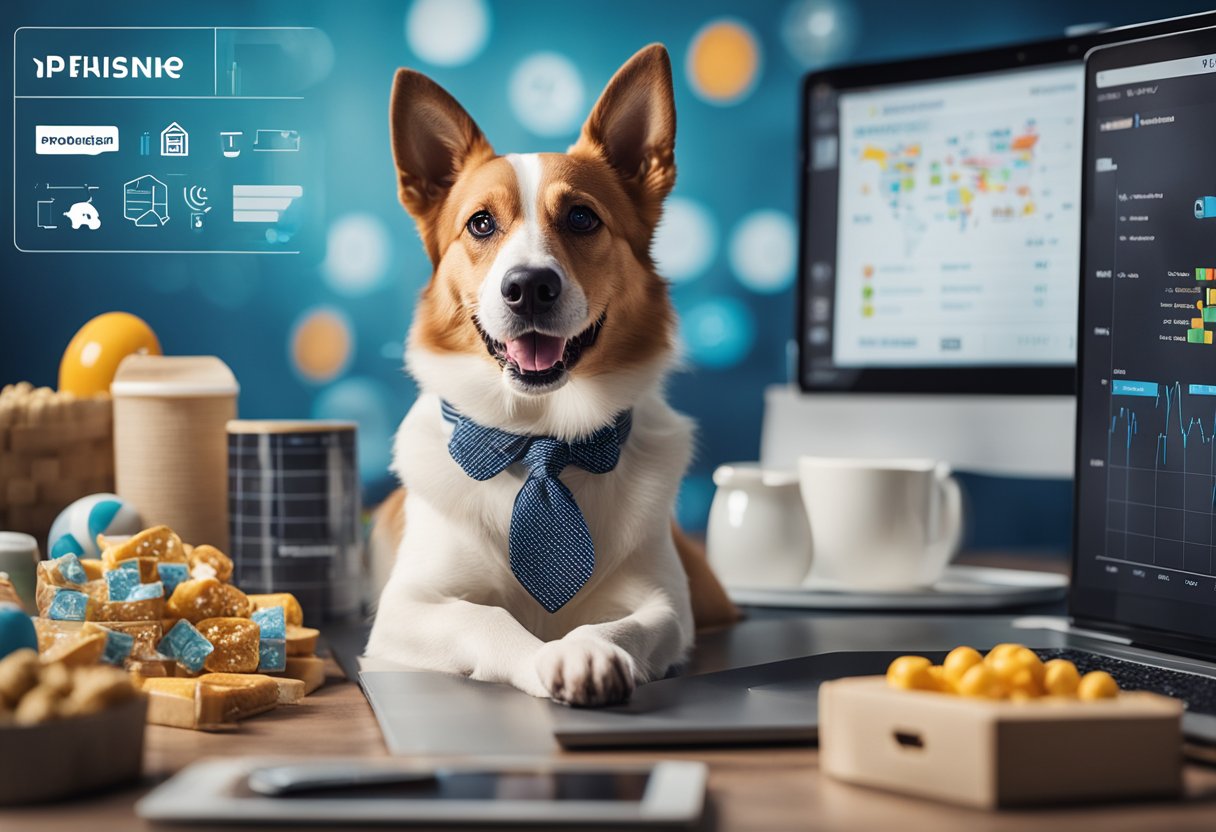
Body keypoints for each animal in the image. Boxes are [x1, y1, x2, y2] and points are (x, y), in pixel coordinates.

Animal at [364, 45, 734, 705]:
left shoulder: (666, 605)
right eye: (480, 224)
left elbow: (619, 625)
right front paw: (539, 657)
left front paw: (585, 652)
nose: (529, 286)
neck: (541, 439)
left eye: (582, 218)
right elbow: (485, 617)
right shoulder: (406, 608)